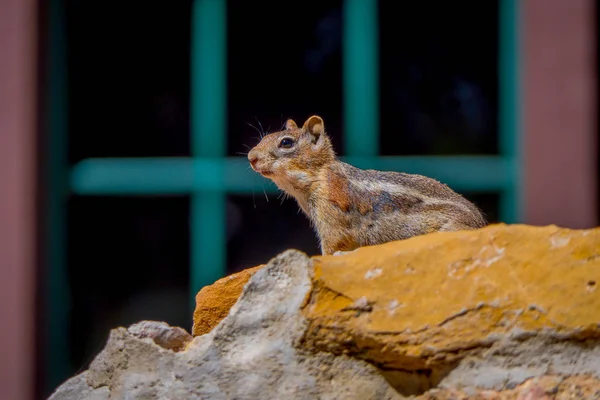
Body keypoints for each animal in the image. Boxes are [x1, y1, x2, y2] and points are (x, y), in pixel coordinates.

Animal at [248, 114, 488, 255]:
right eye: (264, 137)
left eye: (286, 142)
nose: (251, 157)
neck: (320, 176)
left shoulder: (332, 221)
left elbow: (331, 247)